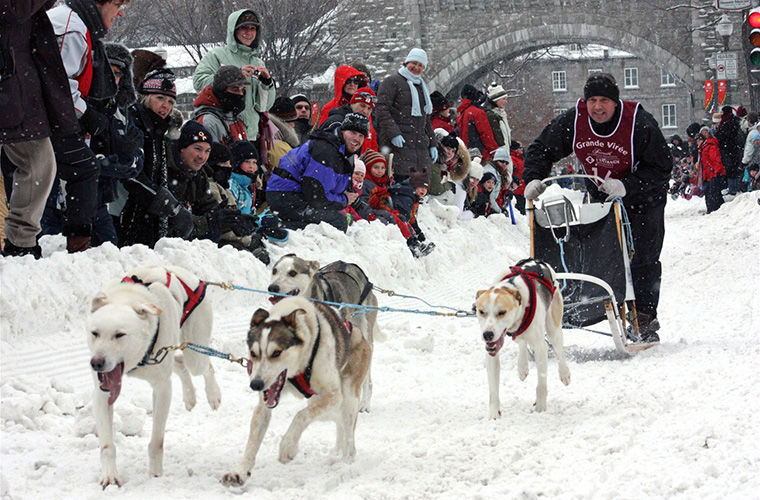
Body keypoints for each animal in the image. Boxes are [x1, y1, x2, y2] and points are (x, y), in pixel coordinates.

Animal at [88, 266, 221, 488]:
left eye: (120, 334)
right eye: (94, 333)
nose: (96, 362)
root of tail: (192, 276)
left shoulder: (162, 387)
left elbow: (157, 441)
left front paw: (156, 475)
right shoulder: (102, 392)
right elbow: (107, 445)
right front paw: (110, 476)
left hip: (194, 354)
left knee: (205, 366)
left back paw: (213, 395)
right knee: (179, 363)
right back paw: (190, 396)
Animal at [220, 294, 372, 486]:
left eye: (276, 352)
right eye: (254, 353)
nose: (255, 384)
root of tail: (360, 334)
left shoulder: (332, 395)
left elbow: (300, 416)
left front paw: (288, 447)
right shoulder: (264, 406)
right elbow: (253, 440)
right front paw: (240, 472)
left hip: (348, 399)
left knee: (349, 438)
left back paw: (345, 463)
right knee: (339, 426)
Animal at [268, 256, 380, 412]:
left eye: (292, 272)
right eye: (274, 270)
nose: (272, 287)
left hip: (365, 336)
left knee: (367, 380)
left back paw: (364, 403)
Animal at [476, 260, 568, 416]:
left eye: (502, 312)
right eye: (482, 311)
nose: (487, 334)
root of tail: (538, 261)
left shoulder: (540, 346)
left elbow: (541, 382)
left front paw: (540, 408)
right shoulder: (492, 352)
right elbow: (493, 390)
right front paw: (494, 415)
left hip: (553, 327)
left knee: (559, 349)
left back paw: (565, 373)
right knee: (522, 342)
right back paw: (522, 366)